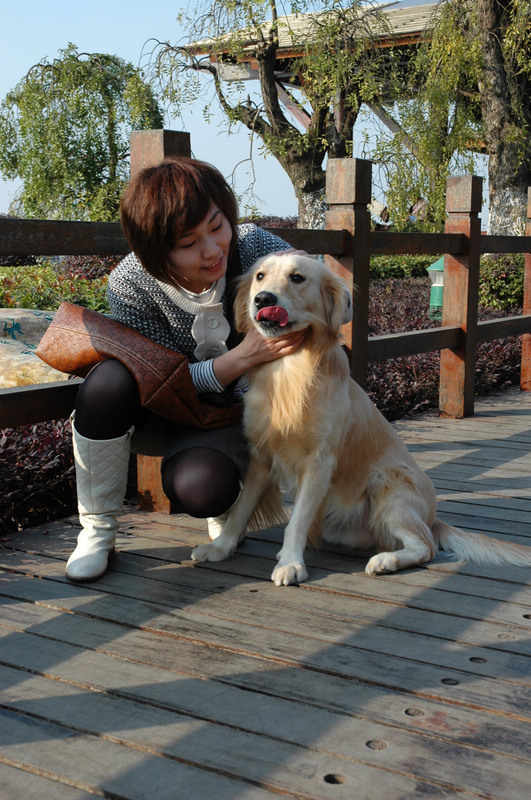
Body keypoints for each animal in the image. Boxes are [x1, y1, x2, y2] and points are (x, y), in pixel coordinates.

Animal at [192, 253, 531, 584]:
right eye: (260, 276)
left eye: (297, 277)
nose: (262, 299)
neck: (290, 370)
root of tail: (433, 518)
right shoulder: (260, 456)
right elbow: (240, 510)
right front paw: (221, 547)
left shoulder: (320, 462)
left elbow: (297, 520)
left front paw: (291, 563)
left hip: (388, 480)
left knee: (426, 546)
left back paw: (387, 561)